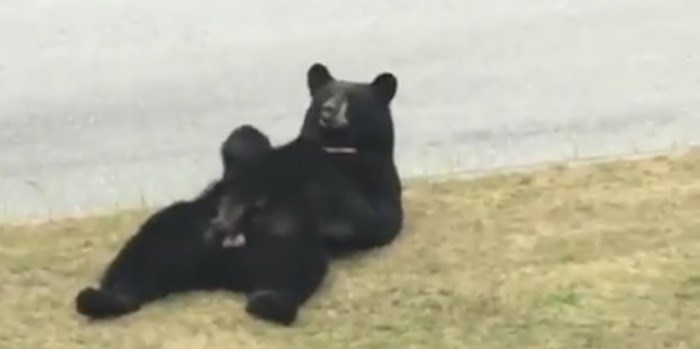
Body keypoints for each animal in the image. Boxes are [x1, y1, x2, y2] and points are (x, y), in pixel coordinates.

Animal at [74, 125, 328, 326]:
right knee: (147, 247)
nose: (226, 223)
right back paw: (110, 297)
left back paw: (272, 302)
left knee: (296, 265)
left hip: (267, 250)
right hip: (183, 232)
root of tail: (213, 267)